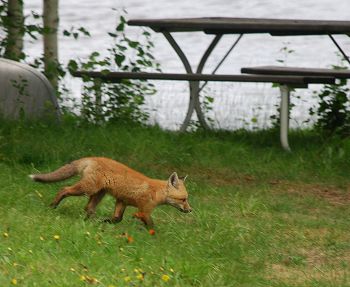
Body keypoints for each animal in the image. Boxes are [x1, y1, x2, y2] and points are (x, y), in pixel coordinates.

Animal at [29, 158, 191, 227]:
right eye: (183, 199)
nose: (190, 210)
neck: (156, 192)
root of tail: (92, 158)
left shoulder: (122, 201)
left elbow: (117, 218)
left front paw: (106, 222)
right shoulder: (144, 210)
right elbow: (151, 225)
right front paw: (155, 237)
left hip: (99, 193)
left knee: (88, 208)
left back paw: (92, 222)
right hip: (88, 189)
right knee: (64, 189)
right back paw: (53, 206)